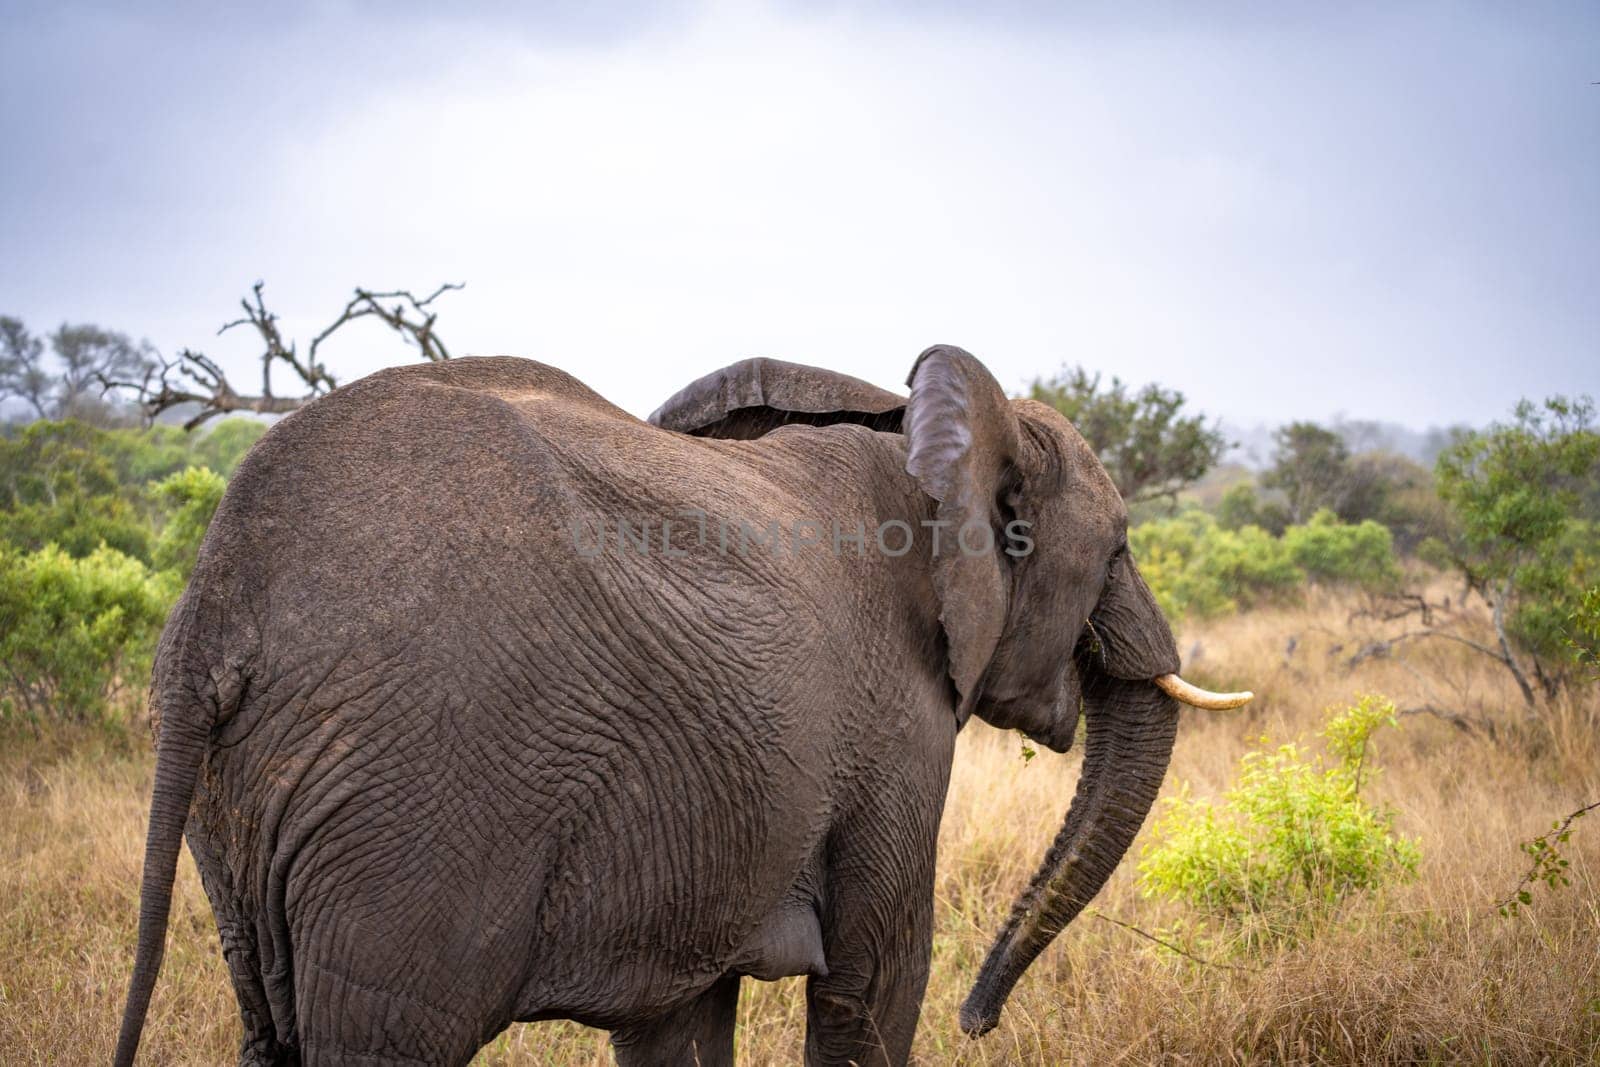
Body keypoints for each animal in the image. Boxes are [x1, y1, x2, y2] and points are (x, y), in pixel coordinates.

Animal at [116, 347, 1248, 1062]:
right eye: (1119, 547)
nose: (984, 1021)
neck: (927, 428)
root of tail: (218, 597)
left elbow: (679, 1022)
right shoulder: (896, 727)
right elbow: (875, 985)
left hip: (244, 798)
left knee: (270, 1029)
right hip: (413, 800)